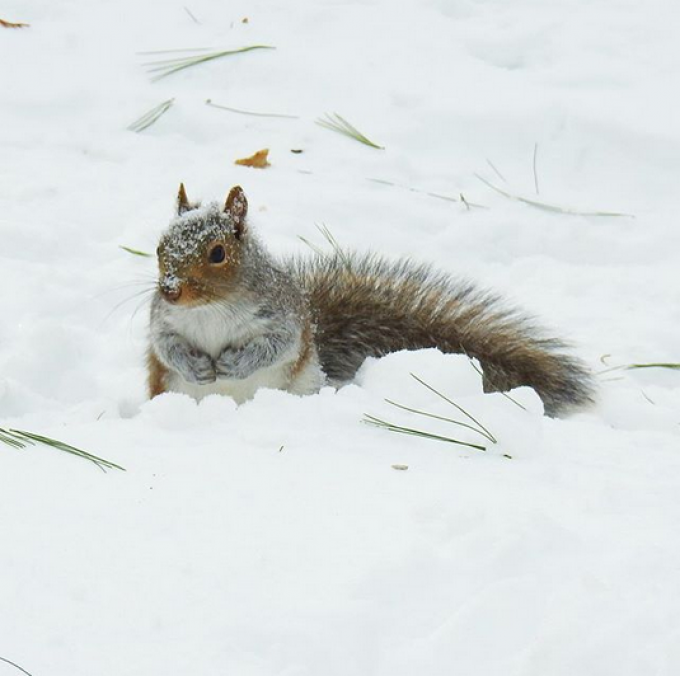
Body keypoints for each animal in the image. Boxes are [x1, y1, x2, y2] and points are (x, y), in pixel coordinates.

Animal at [147, 185, 596, 418]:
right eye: (159, 246)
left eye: (218, 253)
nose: (170, 289)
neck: (211, 308)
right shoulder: (162, 322)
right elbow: (165, 347)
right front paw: (195, 364)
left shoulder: (283, 317)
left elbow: (276, 345)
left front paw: (234, 363)